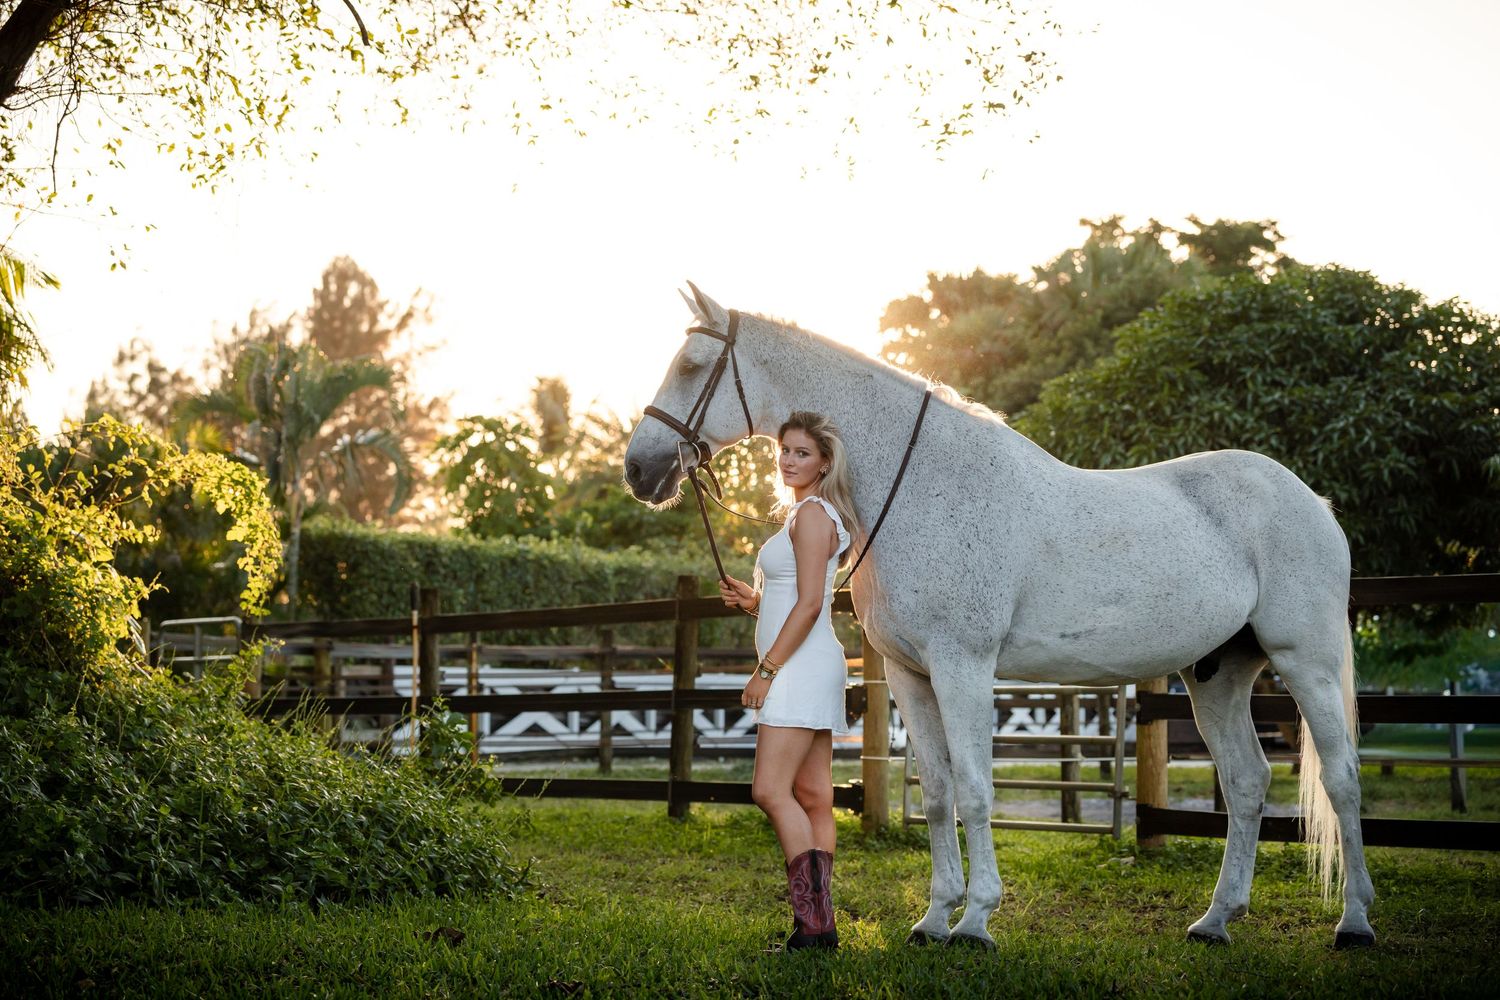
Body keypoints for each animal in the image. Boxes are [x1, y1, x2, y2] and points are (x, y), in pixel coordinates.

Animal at [622, 283, 1375, 950]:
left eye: (691, 365)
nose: (639, 470)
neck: (920, 481)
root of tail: (1312, 500)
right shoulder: (909, 675)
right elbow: (937, 794)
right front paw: (933, 919)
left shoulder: (964, 665)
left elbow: (978, 791)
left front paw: (977, 921)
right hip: (1217, 674)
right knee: (1247, 783)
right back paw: (1216, 921)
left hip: (1304, 659)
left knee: (1341, 777)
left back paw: (1354, 923)